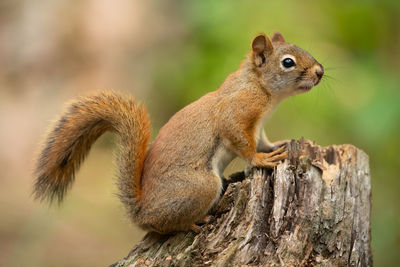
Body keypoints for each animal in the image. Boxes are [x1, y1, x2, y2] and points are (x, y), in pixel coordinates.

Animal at [32, 31, 324, 234]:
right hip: (202, 186)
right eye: (288, 62)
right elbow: (243, 143)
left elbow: (262, 141)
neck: (260, 86)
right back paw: (192, 223)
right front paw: (261, 160)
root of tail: (142, 213)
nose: (320, 72)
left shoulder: (259, 127)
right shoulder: (236, 114)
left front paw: (278, 145)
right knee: (167, 226)